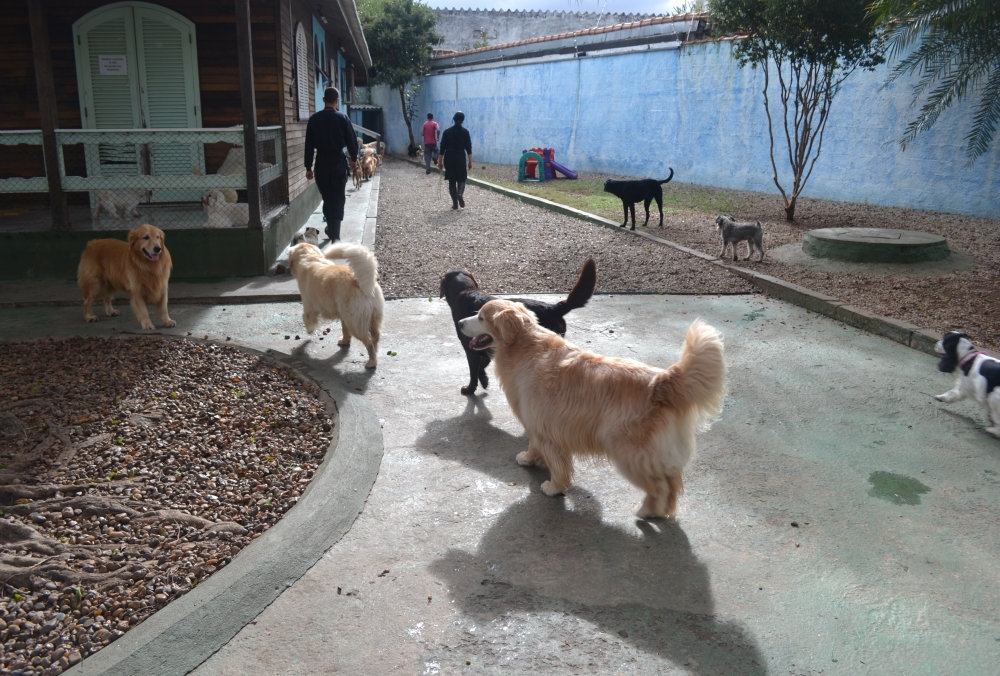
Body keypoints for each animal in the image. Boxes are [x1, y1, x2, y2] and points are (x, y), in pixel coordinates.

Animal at [438, 258, 592, 396]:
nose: (460, 323)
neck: (466, 290)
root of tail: (553, 308)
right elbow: (483, 364)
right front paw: (484, 379)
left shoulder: (470, 349)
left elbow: (473, 372)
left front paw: (470, 389)